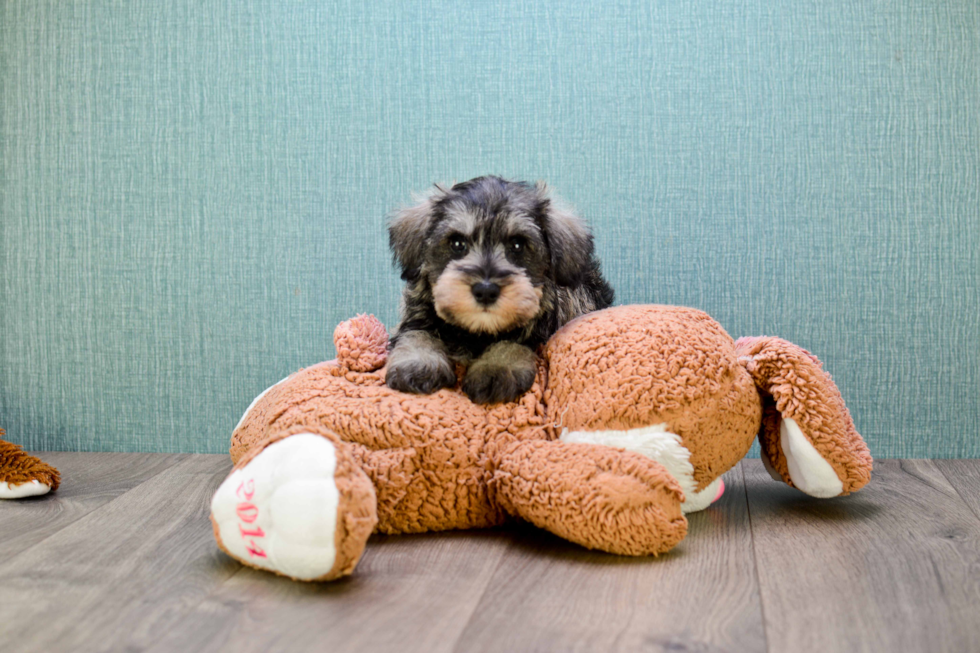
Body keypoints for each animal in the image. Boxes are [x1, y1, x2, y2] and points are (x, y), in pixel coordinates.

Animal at [384, 174, 608, 402]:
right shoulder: (415, 315)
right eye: (457, 243)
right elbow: (418, 333)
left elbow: (510, 342)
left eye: (517, 245)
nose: (485, 291)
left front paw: (495, 368)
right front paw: (419, 363)